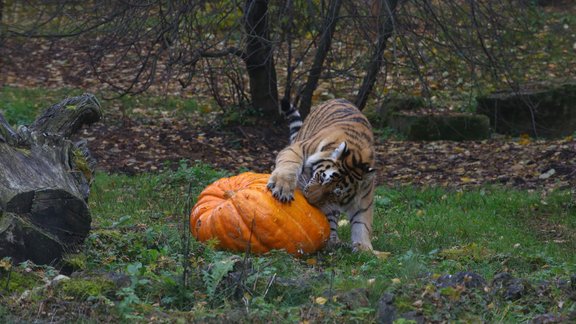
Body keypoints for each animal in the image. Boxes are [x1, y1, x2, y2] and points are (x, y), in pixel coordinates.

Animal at [266, 97, 376, 252]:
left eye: (334, 193)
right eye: (322, 177)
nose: (309, 199)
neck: (358, 154)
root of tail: (339, 98)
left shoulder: (364, 196)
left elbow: (362, 221)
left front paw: (364, 249)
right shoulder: (297, 148)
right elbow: (289, 165)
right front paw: (282, 187)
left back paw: (333, 242)